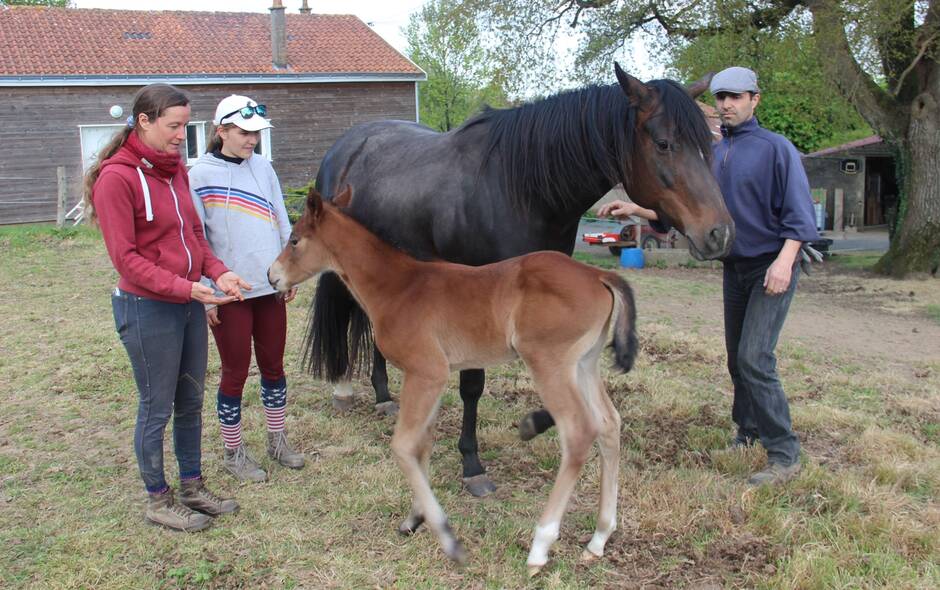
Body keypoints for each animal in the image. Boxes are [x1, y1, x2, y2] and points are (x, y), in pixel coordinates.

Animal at [272, 187, 640, 576]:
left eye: (294, 239)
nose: (272, 276)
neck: (398, 286)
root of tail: (596, 275)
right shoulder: (432, 378)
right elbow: (423, 444)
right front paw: (414, 518)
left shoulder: (426, 372)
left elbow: (403, 446)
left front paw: (449, 540)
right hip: (584, 364)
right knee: (609, 423)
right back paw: (599, 538)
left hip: (549, 363)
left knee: (579, 432)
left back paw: (540, 546)